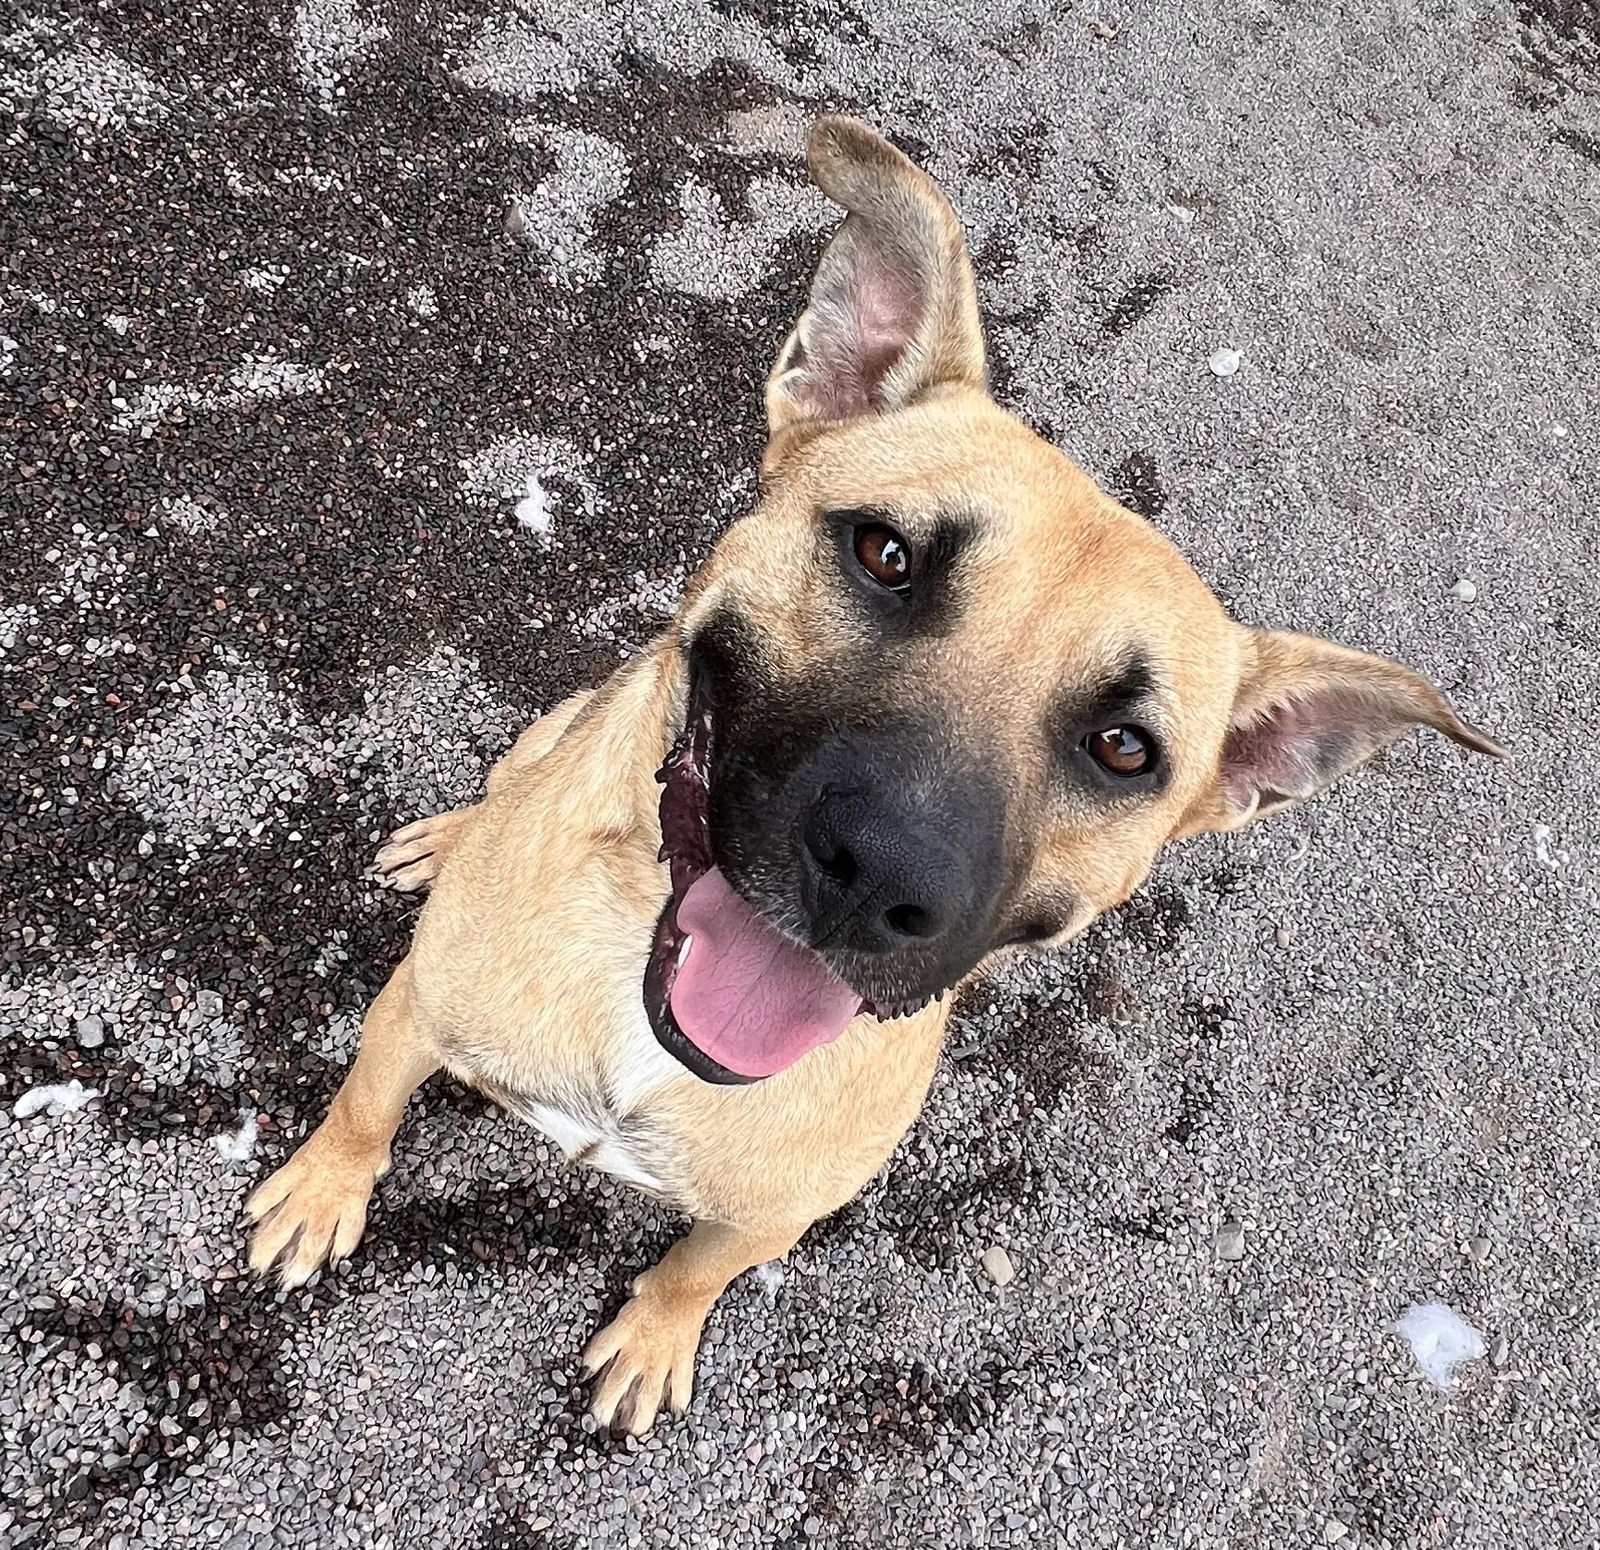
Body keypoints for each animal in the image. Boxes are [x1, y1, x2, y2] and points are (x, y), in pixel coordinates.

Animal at [243, 115, 1504, 1433]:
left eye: (1124, 747)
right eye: (883, 552)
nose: (876, 877)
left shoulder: (771, 1213)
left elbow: (695, 1266)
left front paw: (655, 1333)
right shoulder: (413, 1011)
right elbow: (364, 1105)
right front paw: (323, 1190)